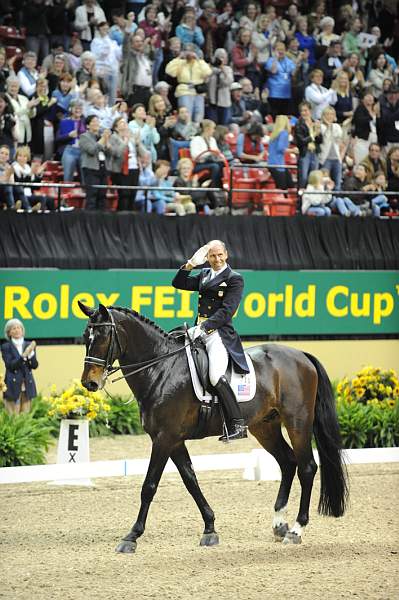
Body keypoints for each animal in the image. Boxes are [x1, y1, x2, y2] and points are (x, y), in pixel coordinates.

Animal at [79, 302, 348, 556]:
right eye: (85, 336)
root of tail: (301, 354)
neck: (161, 370)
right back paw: (279, 524)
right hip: (265, 426)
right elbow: (191, 481)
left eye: (102, 337)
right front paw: (210, 529)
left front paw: (131, 537)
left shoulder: (164, 438)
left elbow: (149, 486)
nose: (89, 383)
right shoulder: (174, 440)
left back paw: (295, 530)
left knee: (307, 467)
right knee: (288, 462)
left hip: (297, 422)